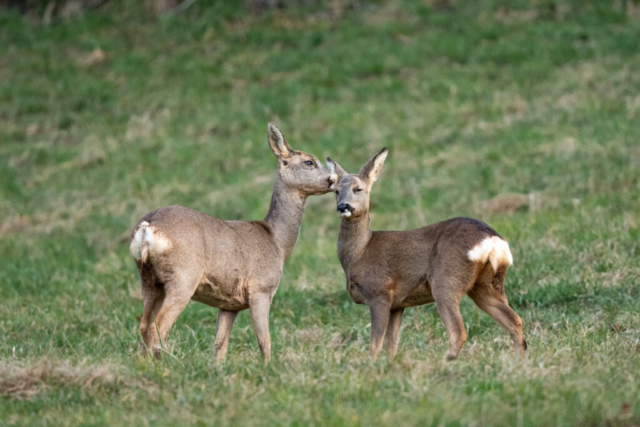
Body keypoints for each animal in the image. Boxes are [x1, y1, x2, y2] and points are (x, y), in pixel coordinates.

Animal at [128, 122, 338, 362]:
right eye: (309, 161)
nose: (333, 180)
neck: (277, 241)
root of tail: (147, 227)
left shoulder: (229, 303)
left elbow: (220, 345)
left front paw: (217, 367)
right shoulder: (261, 289)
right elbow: (264, 341)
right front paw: (268, 366)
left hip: (148, 279)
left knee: (144, 325)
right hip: (183, 276)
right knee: (159, 326)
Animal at [328, 148, 528, 362]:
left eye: (358, 189)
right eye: (336, 191)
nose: (343, 206)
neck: (360, 253)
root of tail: (492, 240)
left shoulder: (379, 292)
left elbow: (375, 345)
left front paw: (372, 365)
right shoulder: (398, 303)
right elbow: (391, 344)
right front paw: (391, 364)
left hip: (446, 279)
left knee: (459, 331)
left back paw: (446, 361)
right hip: (486, 283)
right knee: (515, 321)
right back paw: (520, 362)